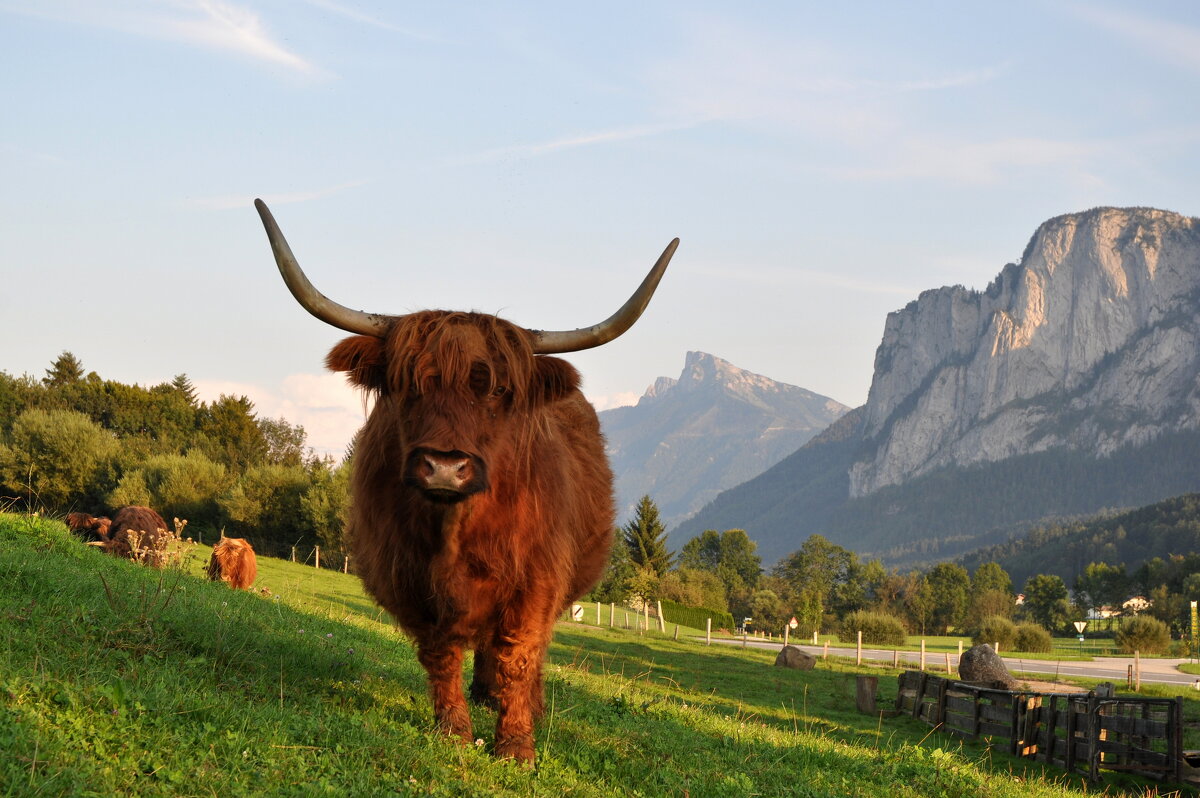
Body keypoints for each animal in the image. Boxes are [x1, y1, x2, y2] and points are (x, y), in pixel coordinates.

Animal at [253, 198, 676, 758]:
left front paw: (516, 744)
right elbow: (441, 654)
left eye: (495, 390)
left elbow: (518, 654)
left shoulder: (536, 581)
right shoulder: (408, 580)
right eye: (408, 384)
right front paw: (454, 730)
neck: (453, 531)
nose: (445, 467)